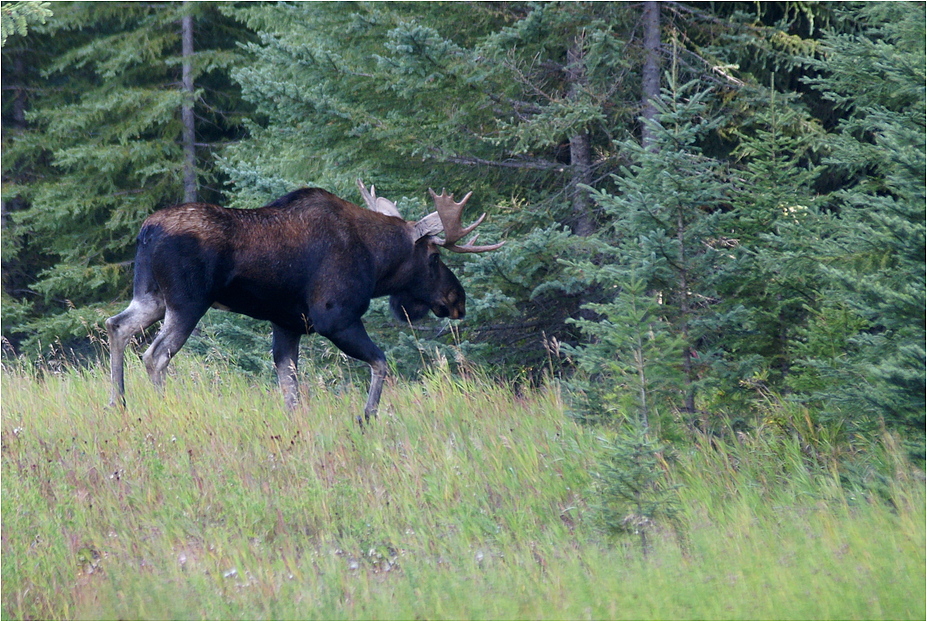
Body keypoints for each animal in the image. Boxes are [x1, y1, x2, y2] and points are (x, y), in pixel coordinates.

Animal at [105, 180, 504, 424]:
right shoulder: (335, 318)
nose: (457, 299)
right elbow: (381, 362)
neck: (376, 263)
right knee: (155, 355)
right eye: (434, 258)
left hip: (152, 296)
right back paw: (162, 408)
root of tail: (146, 231)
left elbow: (290, 389)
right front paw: (366, 416)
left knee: (117, 325)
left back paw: (118, 403)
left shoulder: (287, 324)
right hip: (187, 302)